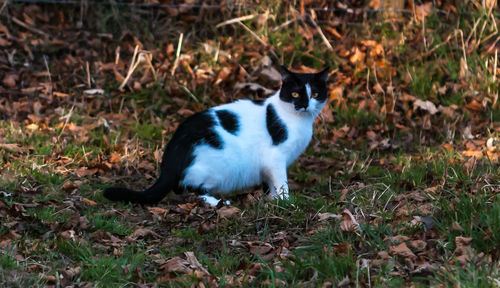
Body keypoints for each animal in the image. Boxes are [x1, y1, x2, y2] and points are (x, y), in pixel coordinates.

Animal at [103, 66, 330, 205]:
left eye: (315, 94)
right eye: (295, 94)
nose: (304, 104)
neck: (297, 120)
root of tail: (173, 149)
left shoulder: (267, 165)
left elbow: (271, 184)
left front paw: (272, 201)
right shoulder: (275, 159)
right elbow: (281, 182)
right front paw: (286, 202)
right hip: (216, 167)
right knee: (188, 188)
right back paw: (219, 202)